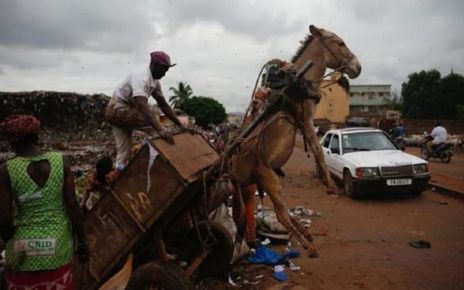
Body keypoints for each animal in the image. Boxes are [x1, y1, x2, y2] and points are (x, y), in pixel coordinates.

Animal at [228, 24, 362, 256]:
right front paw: (330, 184)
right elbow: (318, 150)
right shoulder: (306, 120)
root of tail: (232, 170)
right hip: (268, 179)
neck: (297, 81)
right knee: (281, 214)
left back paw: (306, 234)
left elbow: (318, 150)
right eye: (340, 43)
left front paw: (327, 181)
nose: (358, 67)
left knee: (284, 212)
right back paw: (308, 246)